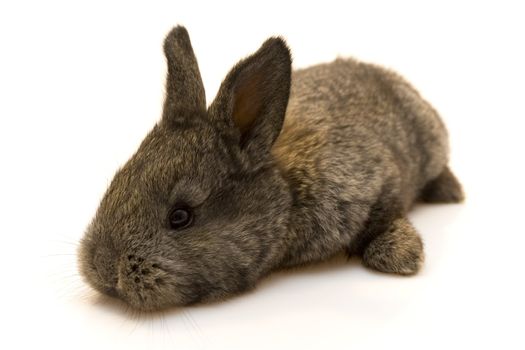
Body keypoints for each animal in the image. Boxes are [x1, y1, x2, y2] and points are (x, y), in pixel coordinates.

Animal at [77, 24, 462, 310]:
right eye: (116, 181)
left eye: (181, 216)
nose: (104, 268)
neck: (288, 197)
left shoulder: (379, 182)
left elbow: (387, 215)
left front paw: (401, 256)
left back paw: (451, 192)